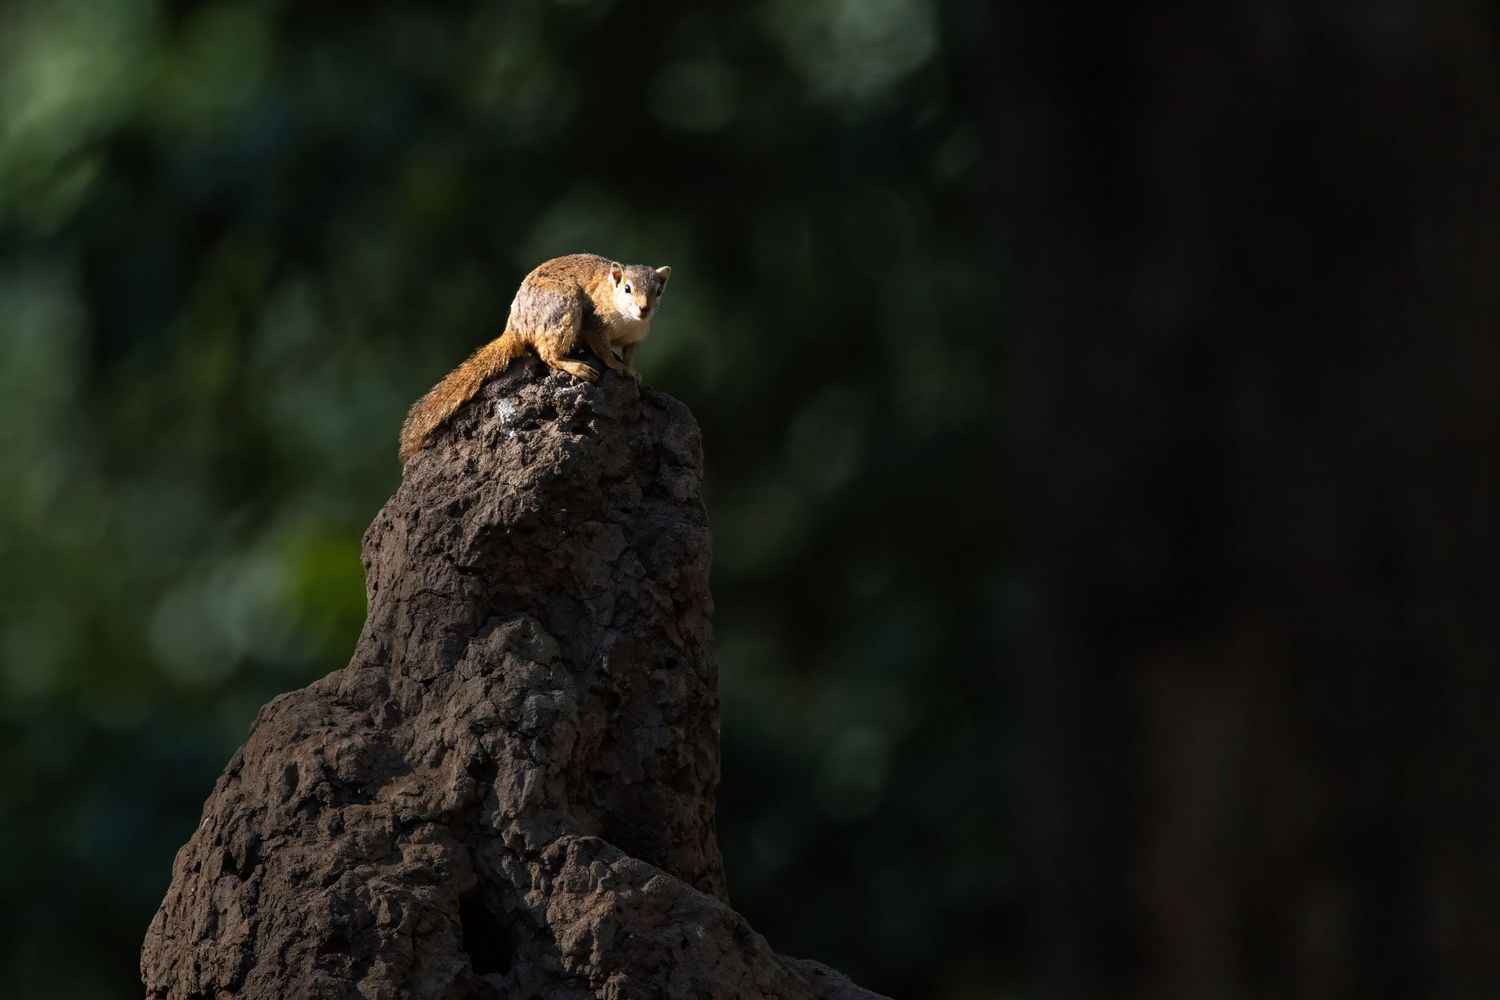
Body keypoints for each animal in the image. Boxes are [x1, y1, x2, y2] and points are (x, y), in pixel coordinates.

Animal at [398, 253, 671, 462]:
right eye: (627, 288)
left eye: (658, 291)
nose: (644, 309)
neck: (628, 320)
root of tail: (516, 327)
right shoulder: (595, 326)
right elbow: (603, 351)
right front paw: (616, 366)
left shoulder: (636, 338)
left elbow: (630, 355)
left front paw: (632, 371)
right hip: (563, 309)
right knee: (547, 354)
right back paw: (577, 367)